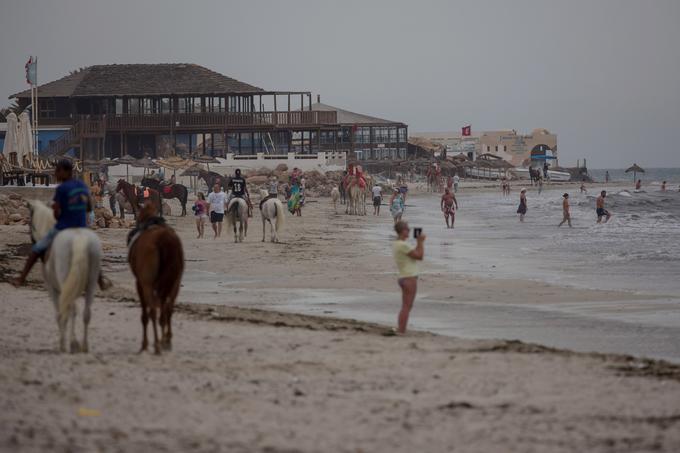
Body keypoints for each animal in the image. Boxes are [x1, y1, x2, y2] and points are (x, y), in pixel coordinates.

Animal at [27, 201, 101, 354]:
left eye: (29, 223)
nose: (32, 239)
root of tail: (79, 238)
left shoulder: (52, 288)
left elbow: (60, 313)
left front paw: (63, 343)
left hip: (64, 279)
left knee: (71, 308)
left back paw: (72, 344)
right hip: (91, 280)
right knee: (86, 312)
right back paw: (84, 346)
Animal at [128, 201, 183, 354]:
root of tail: (163, 239)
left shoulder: (140, 283)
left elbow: (145, 314)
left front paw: (145, 344)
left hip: (147, 283)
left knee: (153, 310)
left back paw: (156, 345)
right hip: (175, 282)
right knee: (168, 309)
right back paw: (165, 341)